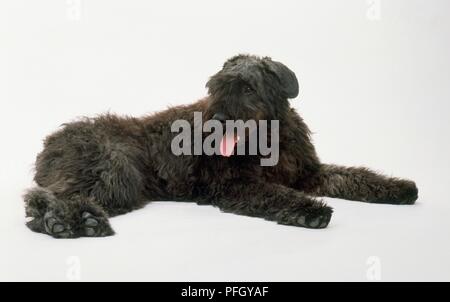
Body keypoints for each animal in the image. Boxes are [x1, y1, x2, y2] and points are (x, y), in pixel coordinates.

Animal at [23, 54, 418, 238]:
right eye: (216, 86)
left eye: (248, 87)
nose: (219, 118)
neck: (271, 140)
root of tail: (50, 143)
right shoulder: (234, 185)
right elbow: (275, 194)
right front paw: (309, 210)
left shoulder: (310, 173)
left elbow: (353, 176)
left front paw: (400, 188)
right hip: (114, 172)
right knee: (46, 196)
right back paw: (69, 221)